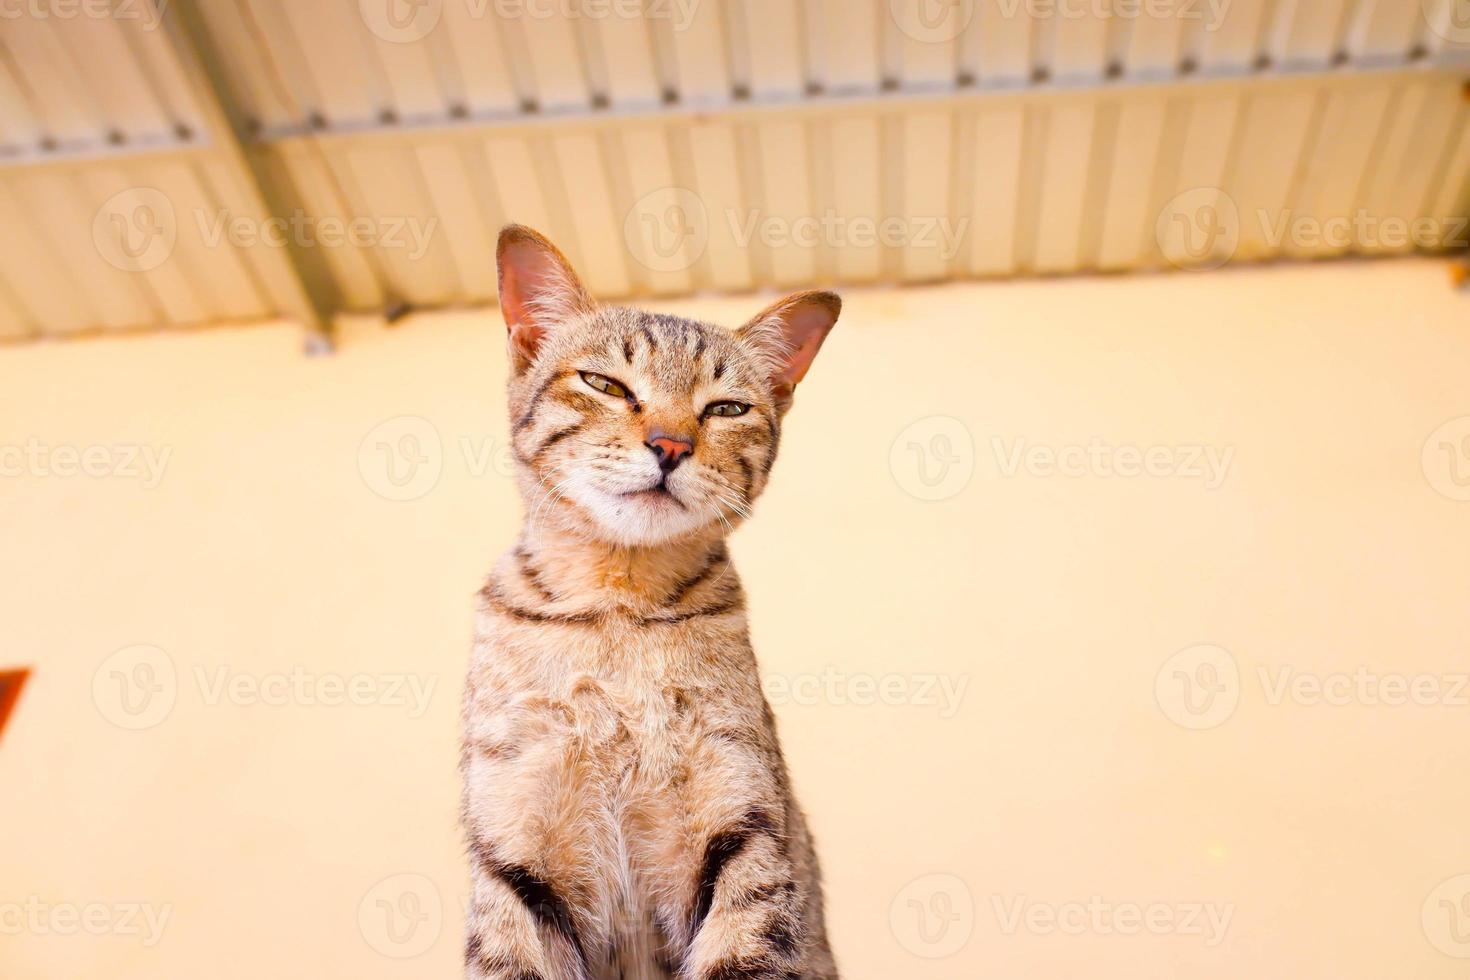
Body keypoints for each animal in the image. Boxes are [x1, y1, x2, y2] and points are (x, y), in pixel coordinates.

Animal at [464, 226, 846, 975]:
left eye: (726, 408)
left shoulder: (740, 825)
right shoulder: (511, 846)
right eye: (605, 384)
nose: (669, 445)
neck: (617, 606)